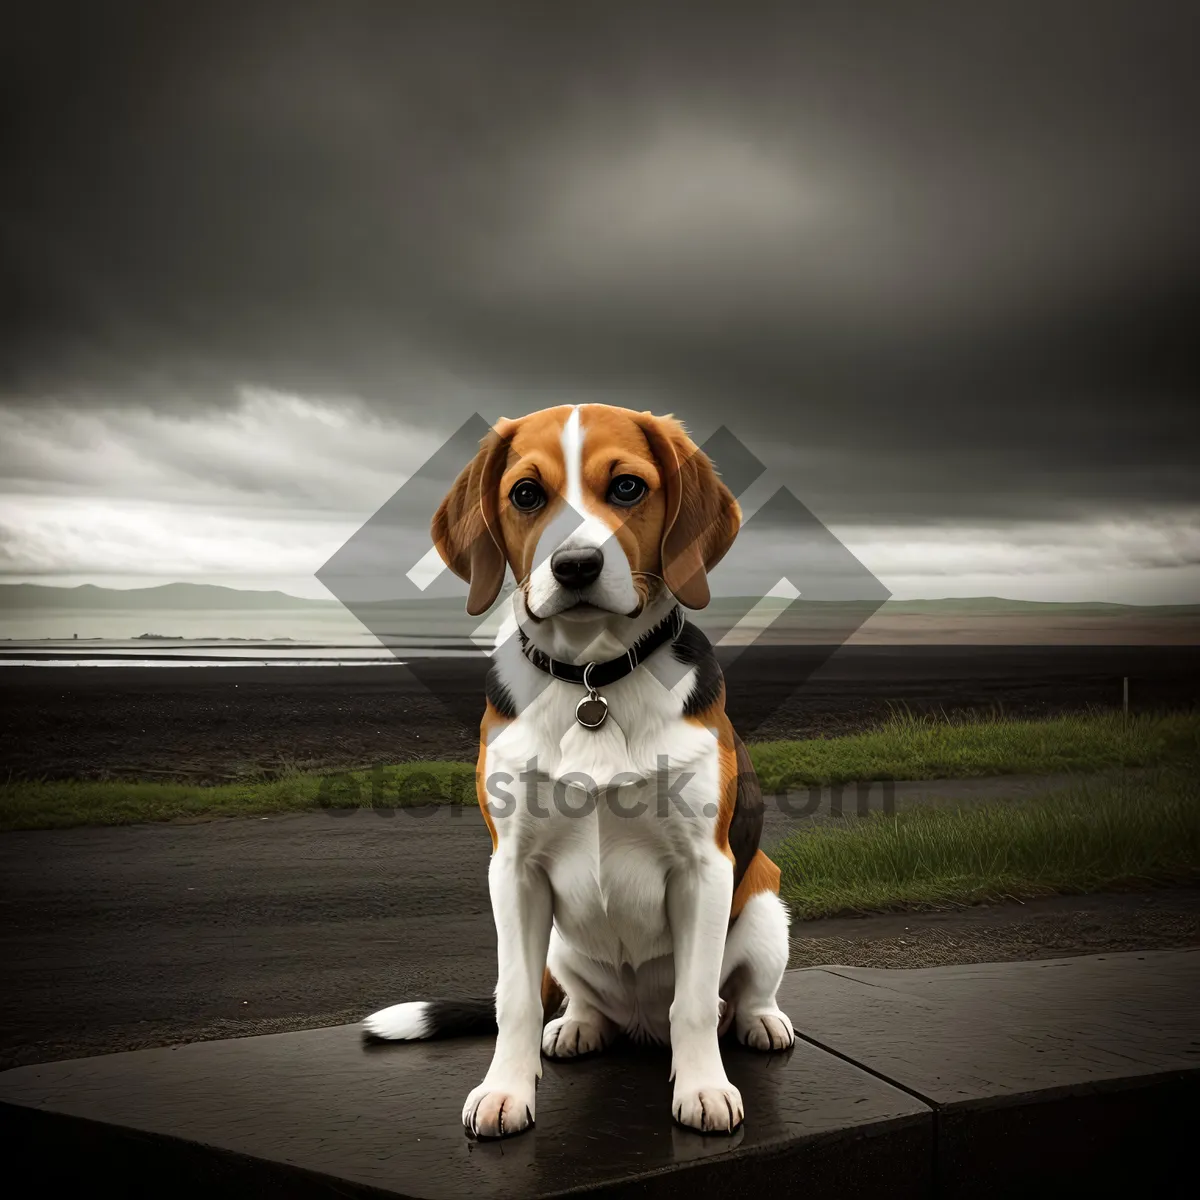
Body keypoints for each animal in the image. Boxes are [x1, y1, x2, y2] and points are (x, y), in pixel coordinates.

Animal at [364, 403, 796, 1132]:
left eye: (626, 487)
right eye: (525, 494)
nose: (575, 565)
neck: (594, 675)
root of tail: (639, 1025)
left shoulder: (705, 869)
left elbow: (692, 1002)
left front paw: (703, 1088)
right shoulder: (512, 870)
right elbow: (513, 998)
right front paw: (505, 1091)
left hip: (765, 902)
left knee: (731, 996)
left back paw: (758, 1021)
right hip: (562, 945)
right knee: (575, 999)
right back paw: (577, 1026)